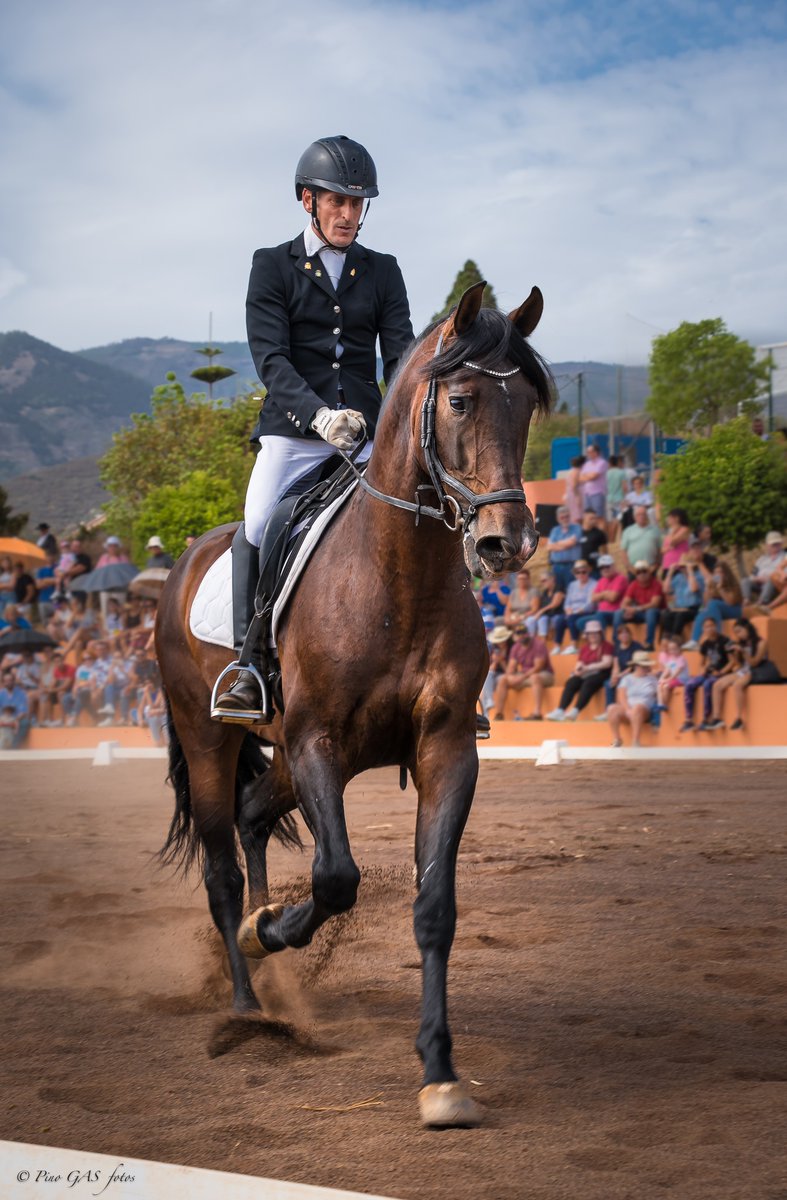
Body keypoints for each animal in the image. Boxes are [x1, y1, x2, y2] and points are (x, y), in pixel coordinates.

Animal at [156, 280, 552, 1127]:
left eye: (529, 405)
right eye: (461, 401)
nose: (506, 543)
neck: (400, 573)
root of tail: (186, 560)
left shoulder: (445, 750)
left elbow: (434, 906)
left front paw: (440, 1073)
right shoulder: (317, 746)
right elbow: (337, 877)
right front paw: (272, 931)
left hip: (270, 754)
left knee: (250, 821)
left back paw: (265, 959)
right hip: (208, 739)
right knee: (220, 865)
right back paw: (248, 998)